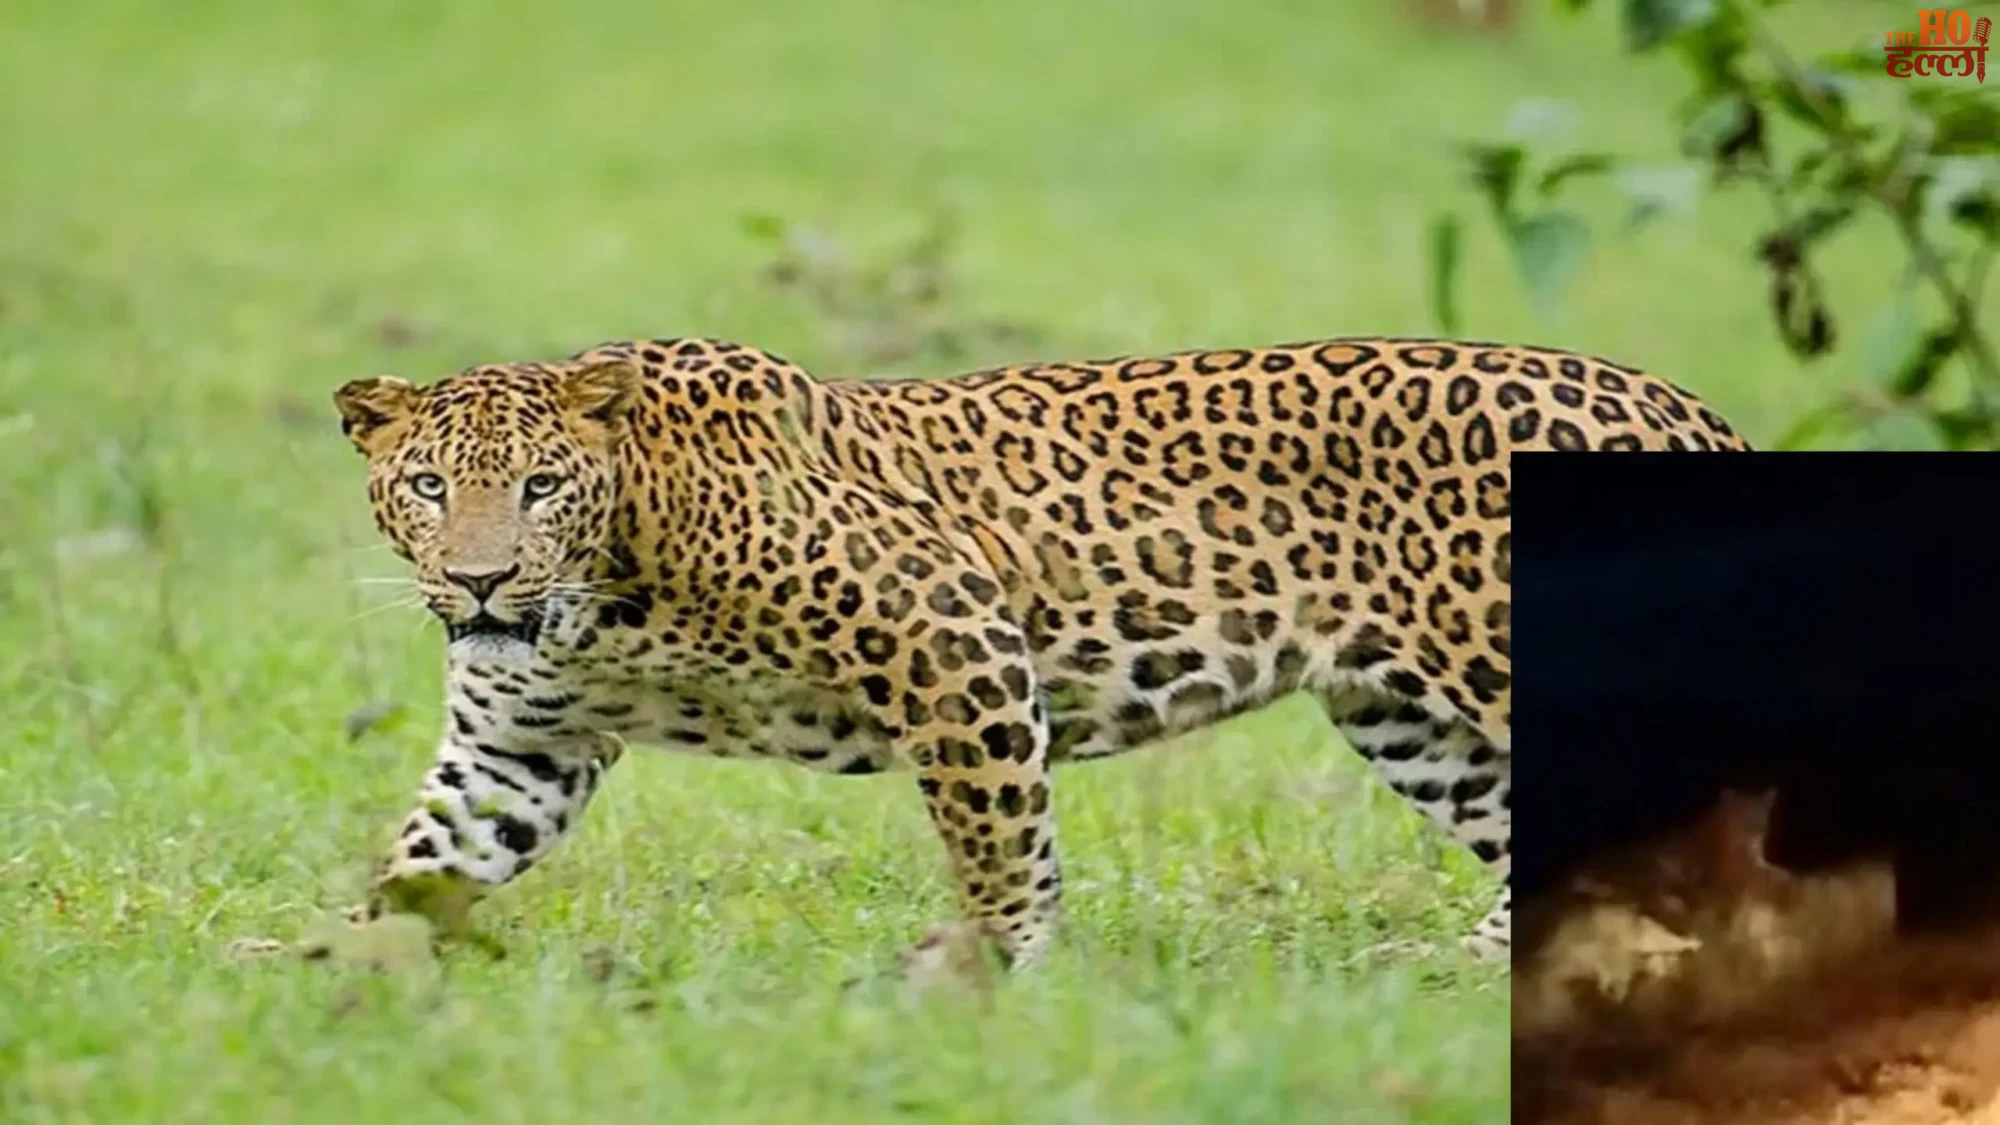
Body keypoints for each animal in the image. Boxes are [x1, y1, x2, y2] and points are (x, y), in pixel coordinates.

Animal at [329, 335, 1748, 970]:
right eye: (428, 486)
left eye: (540, 486)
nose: (480, 578)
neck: (606, 590)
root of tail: (1680, 403)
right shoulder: (518, 748)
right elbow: (421, 863)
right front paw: (327, 980)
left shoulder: (950, 634)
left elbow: (997, 840)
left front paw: (992, 981)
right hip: (1407, 715)